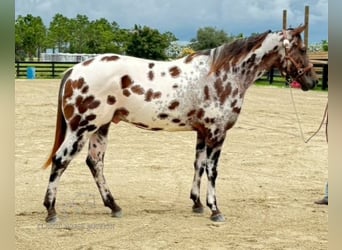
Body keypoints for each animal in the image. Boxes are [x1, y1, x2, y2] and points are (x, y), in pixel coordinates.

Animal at [42, 24, 318, 222]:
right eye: (303, 49)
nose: (313, 81)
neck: (224, 75)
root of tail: (75, 70)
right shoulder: (217, 133)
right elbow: (212, 170)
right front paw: (215, 209)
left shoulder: (202, 132)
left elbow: (198, 165)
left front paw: (196, 203)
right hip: (82, 129)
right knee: (61, 160)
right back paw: (51, 211)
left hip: (100, 128)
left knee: (95, 163)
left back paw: (114, 206)